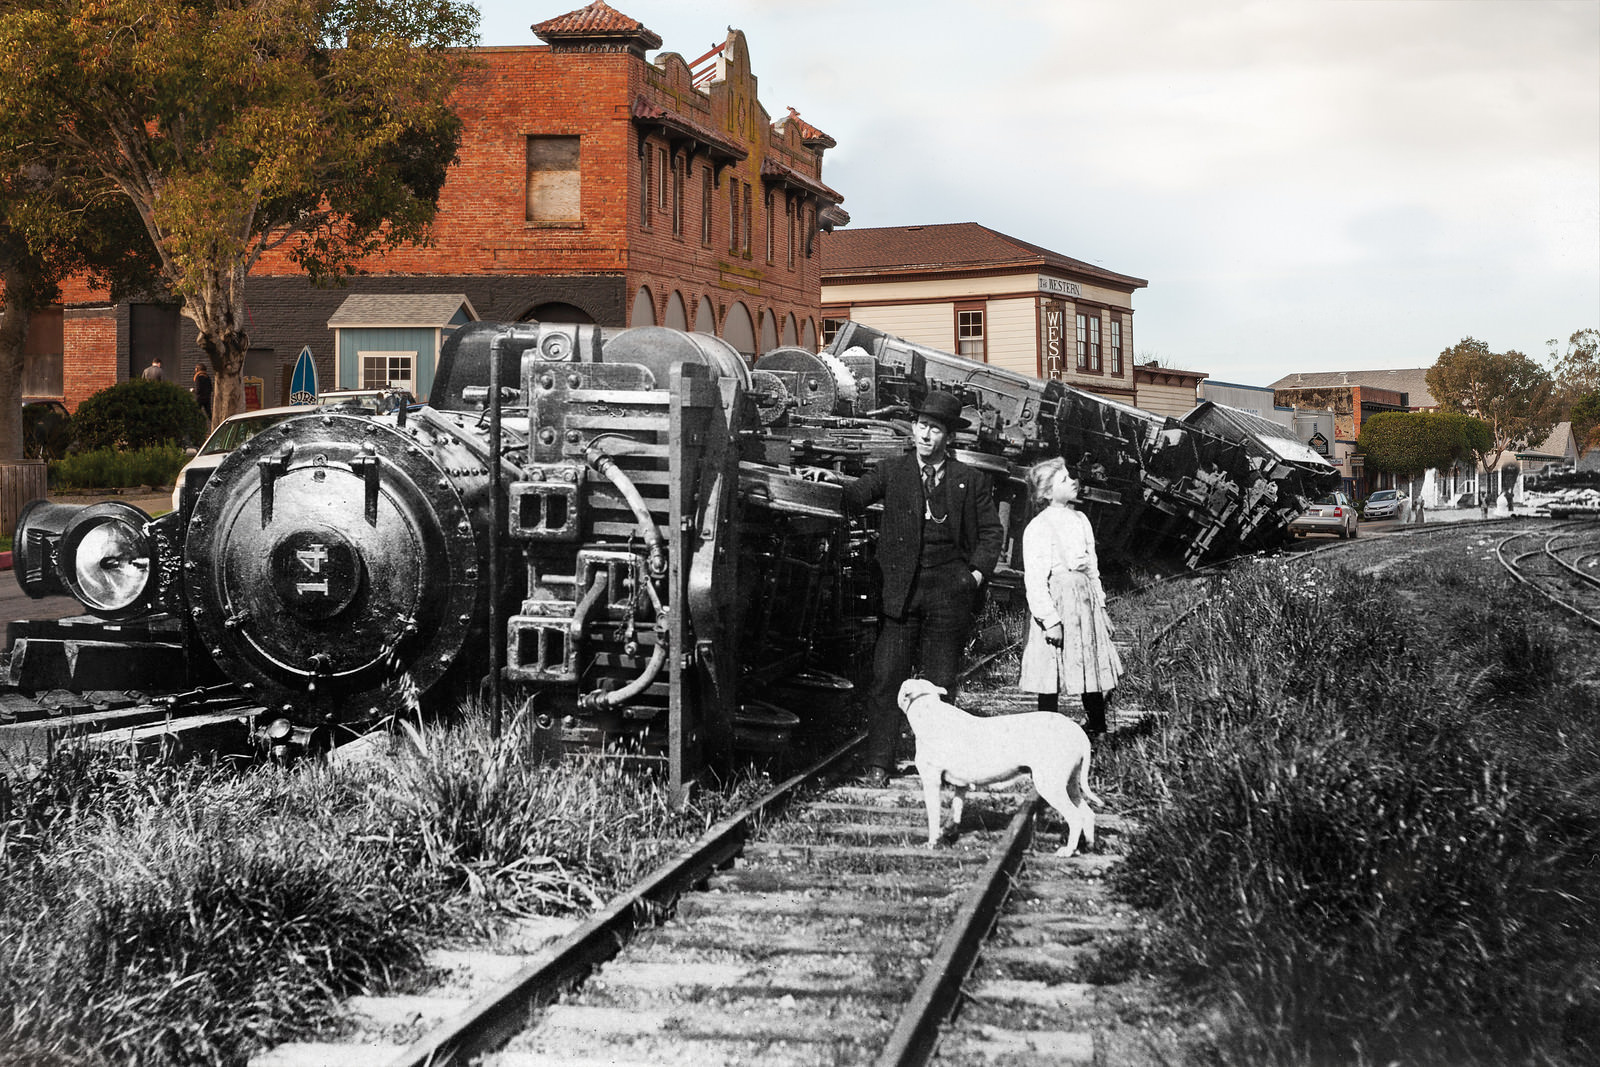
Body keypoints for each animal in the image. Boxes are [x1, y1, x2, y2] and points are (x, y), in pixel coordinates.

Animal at [896, 675, 1107, 857]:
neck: (929, 711)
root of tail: (1078, 731)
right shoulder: (961, 785)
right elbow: (956, 809)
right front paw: (949, 831)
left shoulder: (931, 781)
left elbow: (933, 815)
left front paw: (932, 842)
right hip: (1070, 783)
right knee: (1087, 814)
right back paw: (1088, 846)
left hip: (1050, 785)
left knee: (1075, 817)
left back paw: (1067, 851)